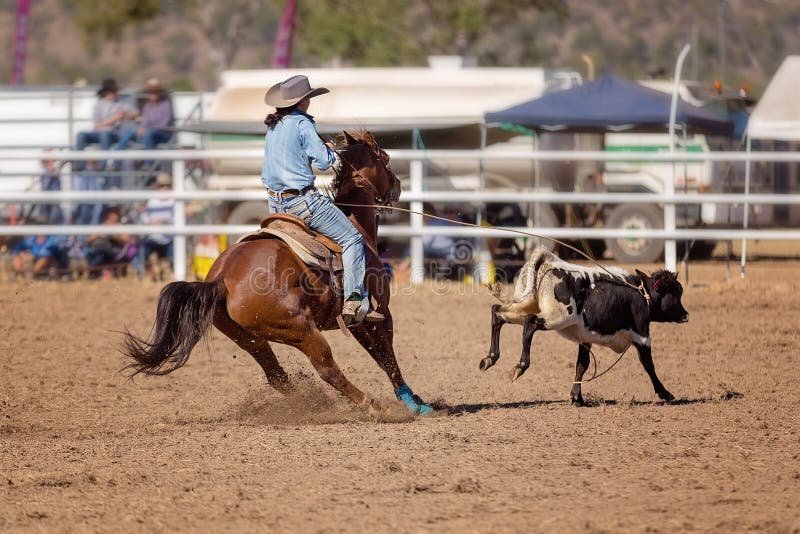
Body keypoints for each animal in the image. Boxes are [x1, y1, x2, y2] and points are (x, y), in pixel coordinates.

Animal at [122, 131, 434, 418]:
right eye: (385, 158)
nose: (398, 187)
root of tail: (222, 280)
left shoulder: (356, 321)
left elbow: (380, 357)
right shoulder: (378, 314)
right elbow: (388, 359)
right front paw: (415, 403)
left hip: (248, 337)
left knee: (276, 376)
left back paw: (313, 404)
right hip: (302, 330)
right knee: (327, 369)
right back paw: (375, 406)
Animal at [482, 249, 688, 404]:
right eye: (675, 294)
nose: (685, 315)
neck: (642, 294)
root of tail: (549, 264)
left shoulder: (585, 339)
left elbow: (582, 365)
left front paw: (577, 397)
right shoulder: (642, 336)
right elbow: (649, 365)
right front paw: (665, 393)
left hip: (524, 306)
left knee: (497, 312)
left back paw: (490, 358)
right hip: (556, 317)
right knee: (530, 323)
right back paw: (520, 366)